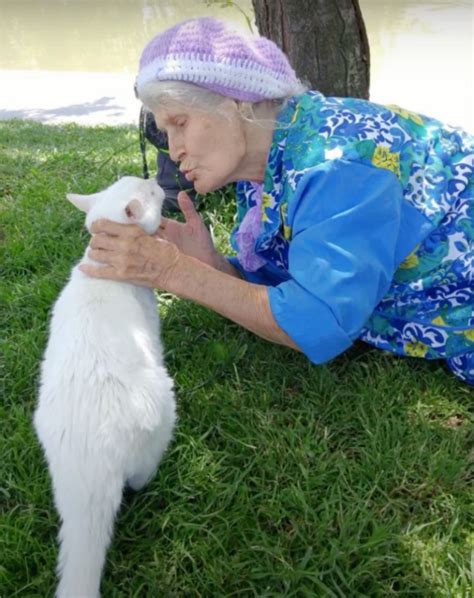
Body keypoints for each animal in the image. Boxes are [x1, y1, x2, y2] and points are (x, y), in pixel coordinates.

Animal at [34, 178, 177, 598]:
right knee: (141, 476)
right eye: (150, 193)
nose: (155, 180)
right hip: (162, 409)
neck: (99, 270)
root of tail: (92, 459)